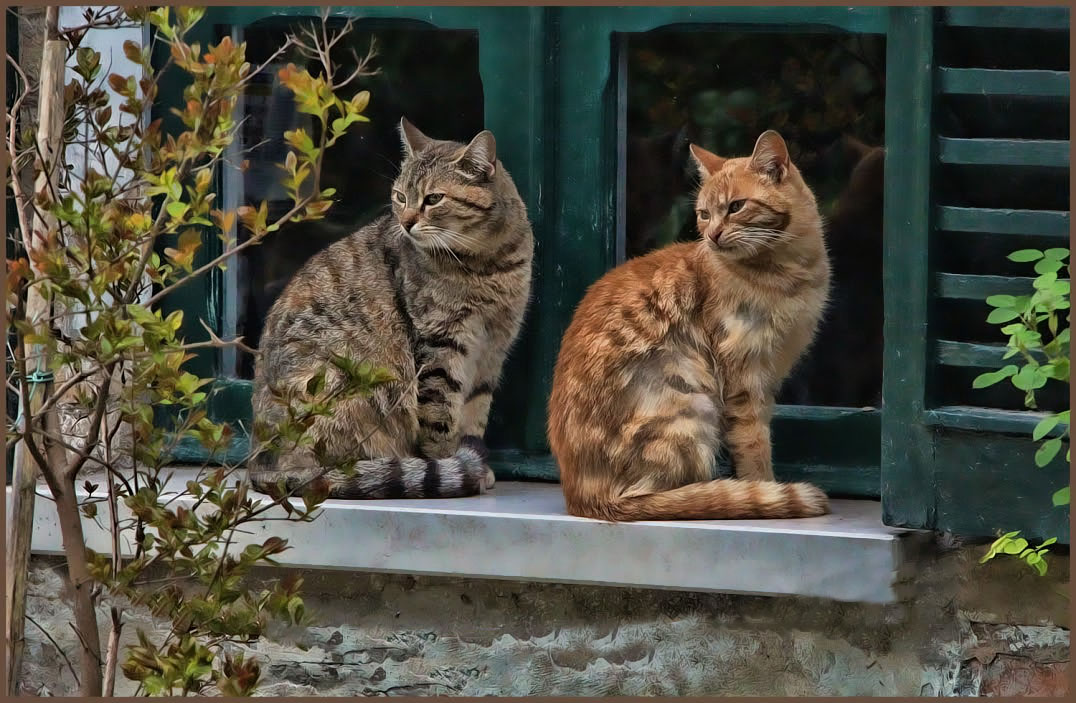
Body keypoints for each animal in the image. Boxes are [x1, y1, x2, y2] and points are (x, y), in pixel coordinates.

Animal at [248, 117, 533, 495]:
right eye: (400, 197)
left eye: (434, 198)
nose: (406, 222)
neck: (488, 262)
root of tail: (258, 463)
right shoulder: (440, 346)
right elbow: (441, 419)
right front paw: (450, 464)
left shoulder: (492, 350)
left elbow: (475, 413)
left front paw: (476, 467)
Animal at [546, 128, 830, 518]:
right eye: (704, 214)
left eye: (736, 206)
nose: (712, 236)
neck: (787, 272)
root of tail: (584, 500)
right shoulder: (744, 378)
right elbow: (754, 445)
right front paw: (764, 488)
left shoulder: (769, 375)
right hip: (691, 405)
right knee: (653, 497)